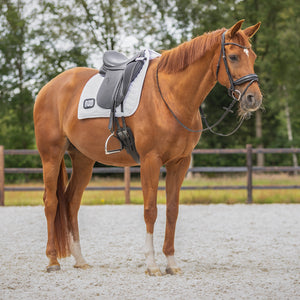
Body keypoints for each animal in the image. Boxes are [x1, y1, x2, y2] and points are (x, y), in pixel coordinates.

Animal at [34, 19, 262, 276]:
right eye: (233, 57)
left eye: (253, 56)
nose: (254, 98)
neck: (171, 97)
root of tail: (49, 88)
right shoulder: (150, 161)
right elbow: (150, 210)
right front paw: (152, 264)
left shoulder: (179, 163)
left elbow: (172, 210)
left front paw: (171, 263)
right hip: (51, 156)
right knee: (51, 202)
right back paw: (53, 260)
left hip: (83, 159)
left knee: (71, 201)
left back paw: (80, 259)